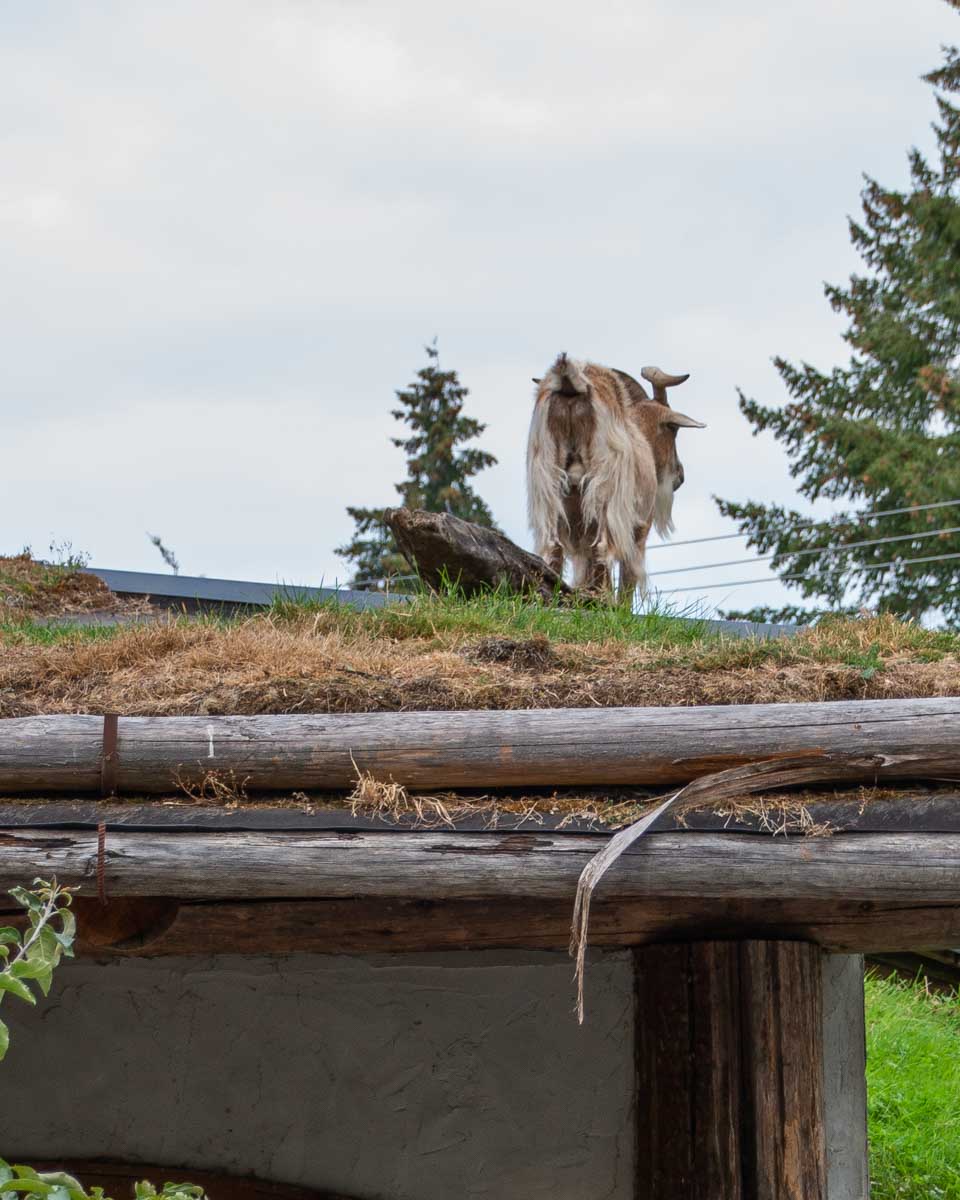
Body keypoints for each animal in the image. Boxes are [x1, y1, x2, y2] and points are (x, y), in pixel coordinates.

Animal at [526, 354, 705, 596]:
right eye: (673, 429)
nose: (680, 476)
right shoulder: (637, 530)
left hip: (547, 486)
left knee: (554, 549)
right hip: (607, 491)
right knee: (602, 550)